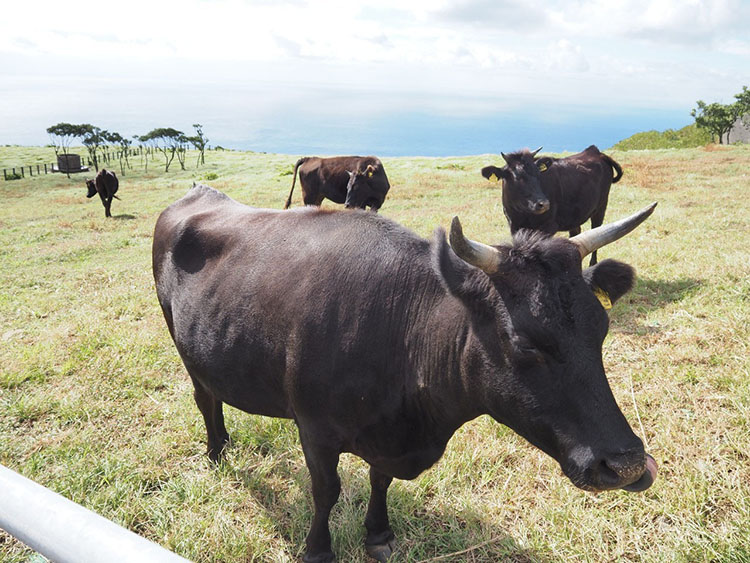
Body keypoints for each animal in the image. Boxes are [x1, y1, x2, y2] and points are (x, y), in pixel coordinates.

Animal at [154, 185, 656, 563]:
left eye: (602, 329)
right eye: (524, 343)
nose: (628, 465)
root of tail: (199, 193)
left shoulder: (390, 437)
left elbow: (380, 480)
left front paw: (378, 533)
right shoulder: (314, 429)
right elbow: (326, 491)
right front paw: (318, 551)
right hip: (182, 343)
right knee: (205, 398)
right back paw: (217, 452)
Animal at [484, 148, 624, 266]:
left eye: (538, 175)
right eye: (517, 178)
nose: (544, 204)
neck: (523, 214)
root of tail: (596, 152)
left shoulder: (549, 226)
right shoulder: (514, 225)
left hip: (601, 207)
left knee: (596, 230)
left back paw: (592, 263)